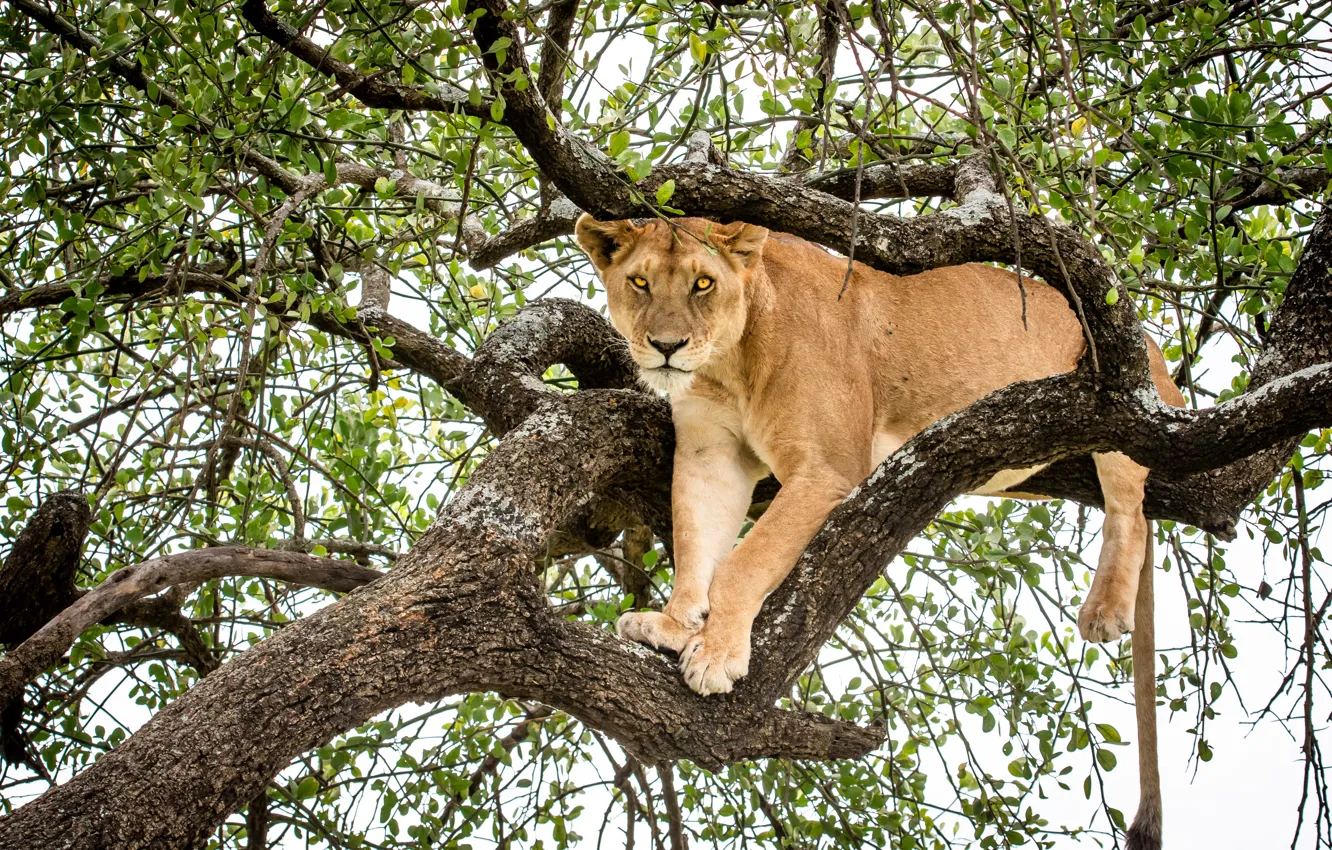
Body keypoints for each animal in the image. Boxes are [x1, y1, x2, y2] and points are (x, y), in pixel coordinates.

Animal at [575, 215, 1183, 850]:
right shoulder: (709, 455)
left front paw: (716, 654)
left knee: (1131, 512)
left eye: (702, 284)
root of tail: (1156, 354)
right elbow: (696, 543)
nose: (666, 347)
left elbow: (745, 563)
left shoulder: (827, 469)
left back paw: (1105, 610)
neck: (728, 365)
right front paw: (672, 626)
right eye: (640, 282)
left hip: (1114, 410)